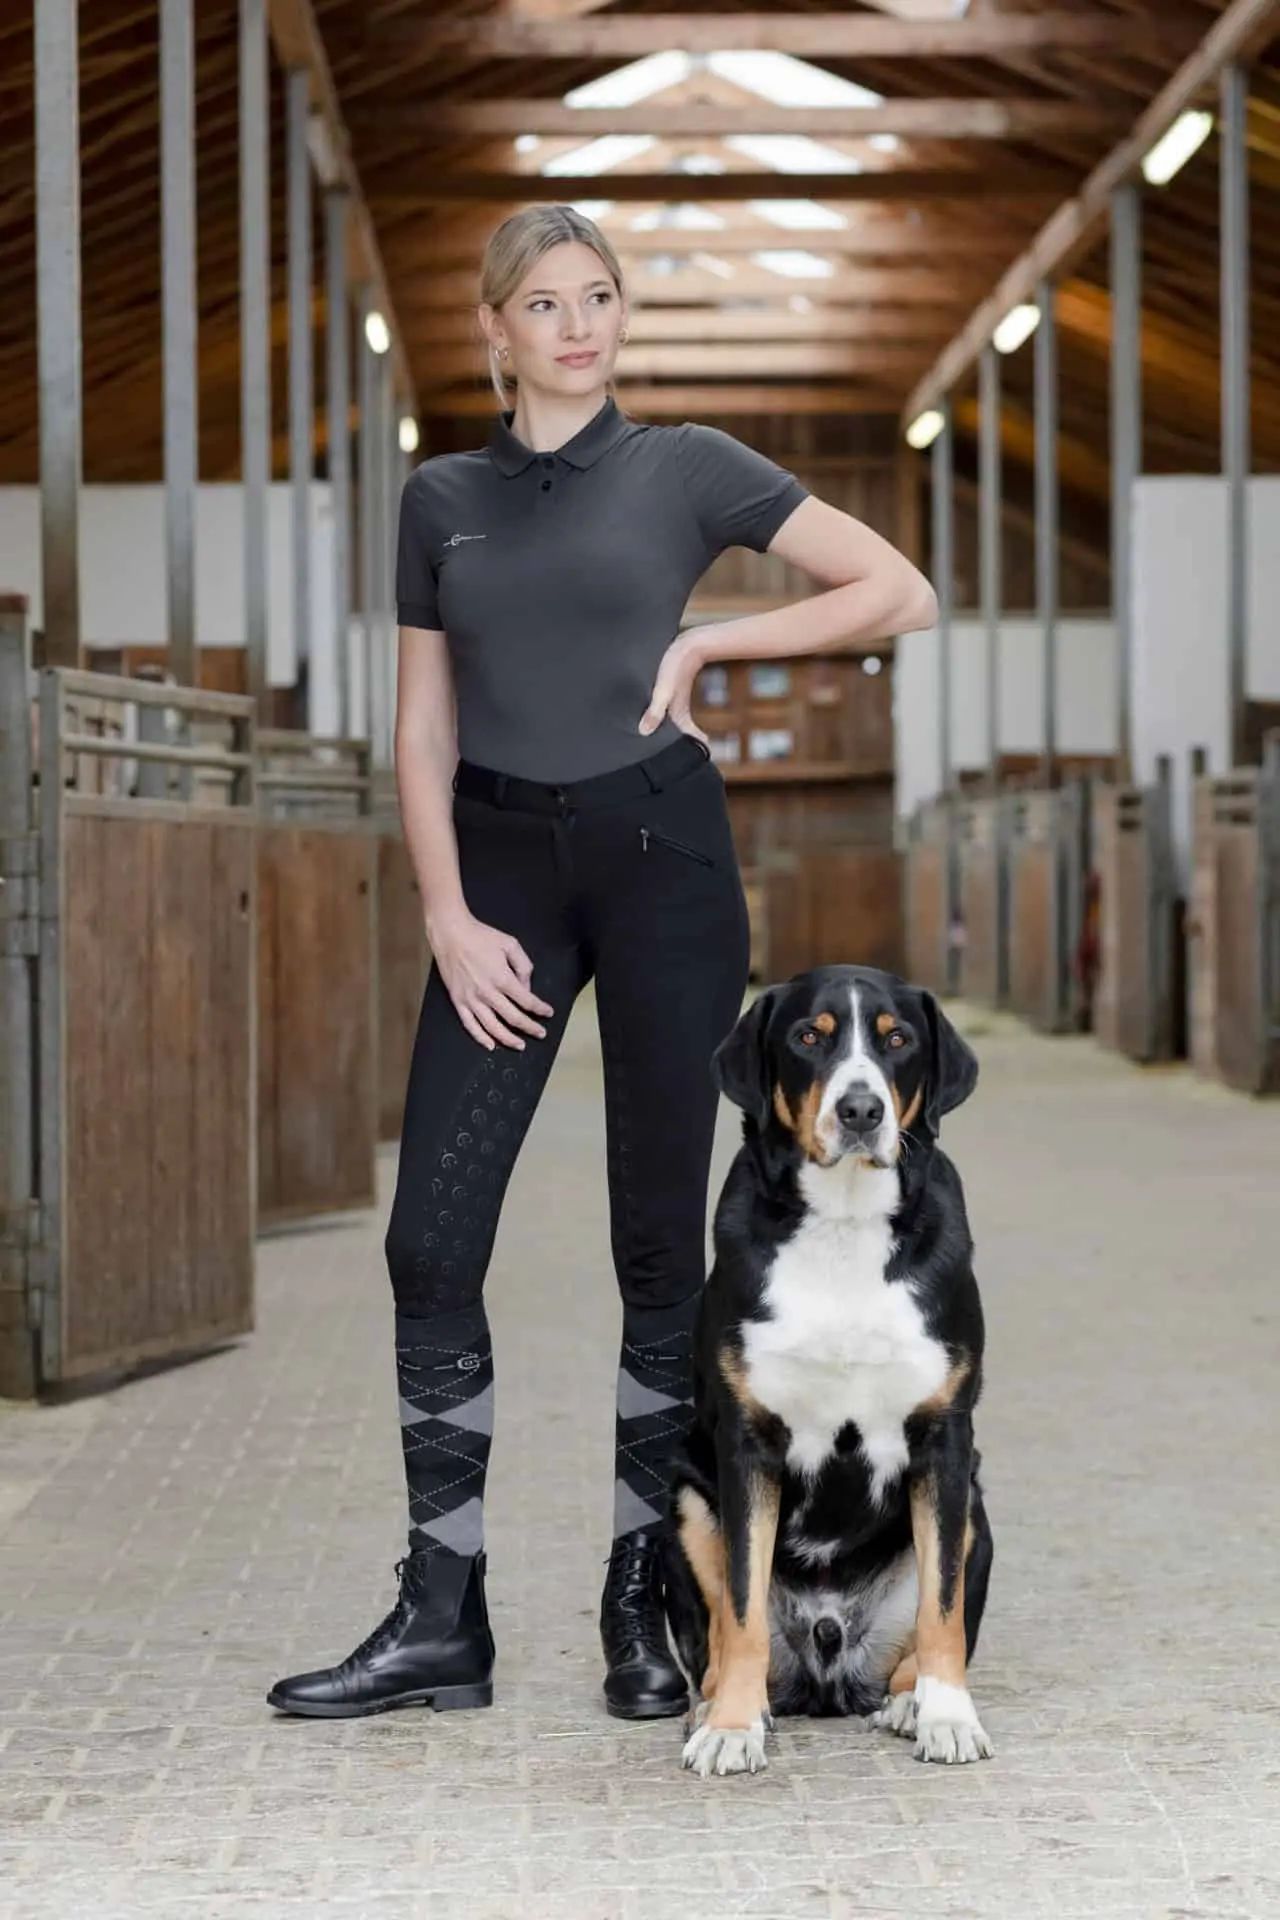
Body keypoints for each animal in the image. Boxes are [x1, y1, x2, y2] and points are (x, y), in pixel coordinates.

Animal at [664, 965, 993, 1777]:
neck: (844, 1225)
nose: (861, 1109)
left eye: (897, 1040)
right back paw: (716, 1708)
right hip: (686, 1499)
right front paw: (733, 1727)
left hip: (976, 1503)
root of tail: (826, 1651)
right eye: (809, 1037)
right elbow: (742, 1606)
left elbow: (942, 1607)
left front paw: (948, 1716)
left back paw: (909, 1701)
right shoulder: (746, 1446)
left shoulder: (945, 1441)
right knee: (717, 1642)